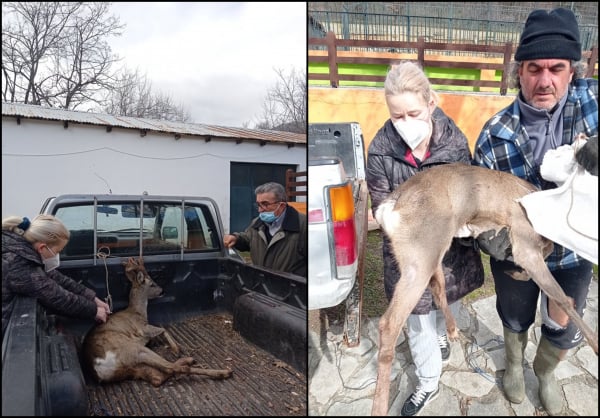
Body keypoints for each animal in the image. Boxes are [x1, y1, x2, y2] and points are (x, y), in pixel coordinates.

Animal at [83, 258, 233, 386]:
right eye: (152, 284)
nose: (162, 291)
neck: (137, 312)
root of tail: (99, 369)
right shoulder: (141, 328)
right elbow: (163, 329)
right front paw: (176, 348)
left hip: (133, 367)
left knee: (157, 378)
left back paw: (189, 361)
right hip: (133, 349)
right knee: (171, 368)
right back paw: (222, 371)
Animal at [372, 160, 596, 414]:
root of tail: (389, 206)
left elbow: (548, 253)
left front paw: (517, 272)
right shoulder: (524, 240)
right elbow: (563, 298)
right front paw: (596, 345)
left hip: (431, 252)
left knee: (438, 288)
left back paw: (452, 331)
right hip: (420, 253)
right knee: (389, 323)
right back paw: (379, 407)